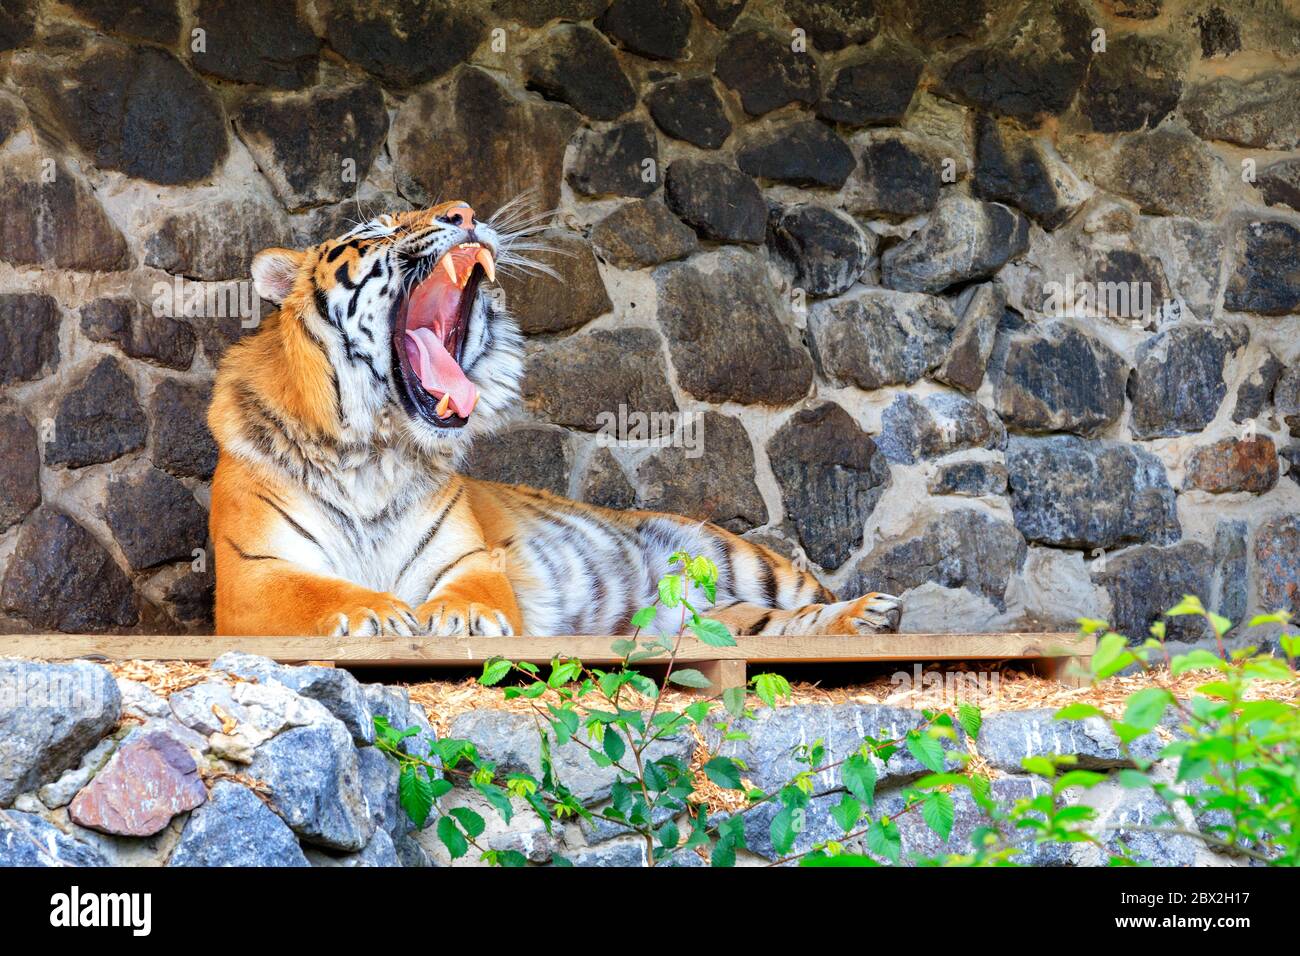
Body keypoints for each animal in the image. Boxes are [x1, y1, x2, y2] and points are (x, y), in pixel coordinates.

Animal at [210, 197, 904, 639]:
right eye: (377, 227)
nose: (464, 213)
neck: (376, 449)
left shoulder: (469, 559)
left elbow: (472, 589)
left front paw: (462, 618)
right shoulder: (252, 574)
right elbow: (315, 592)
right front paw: (375, 612)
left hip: (736, 555)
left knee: (811, 600)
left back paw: (872, 611)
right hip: (718, 616)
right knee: (770, 626)